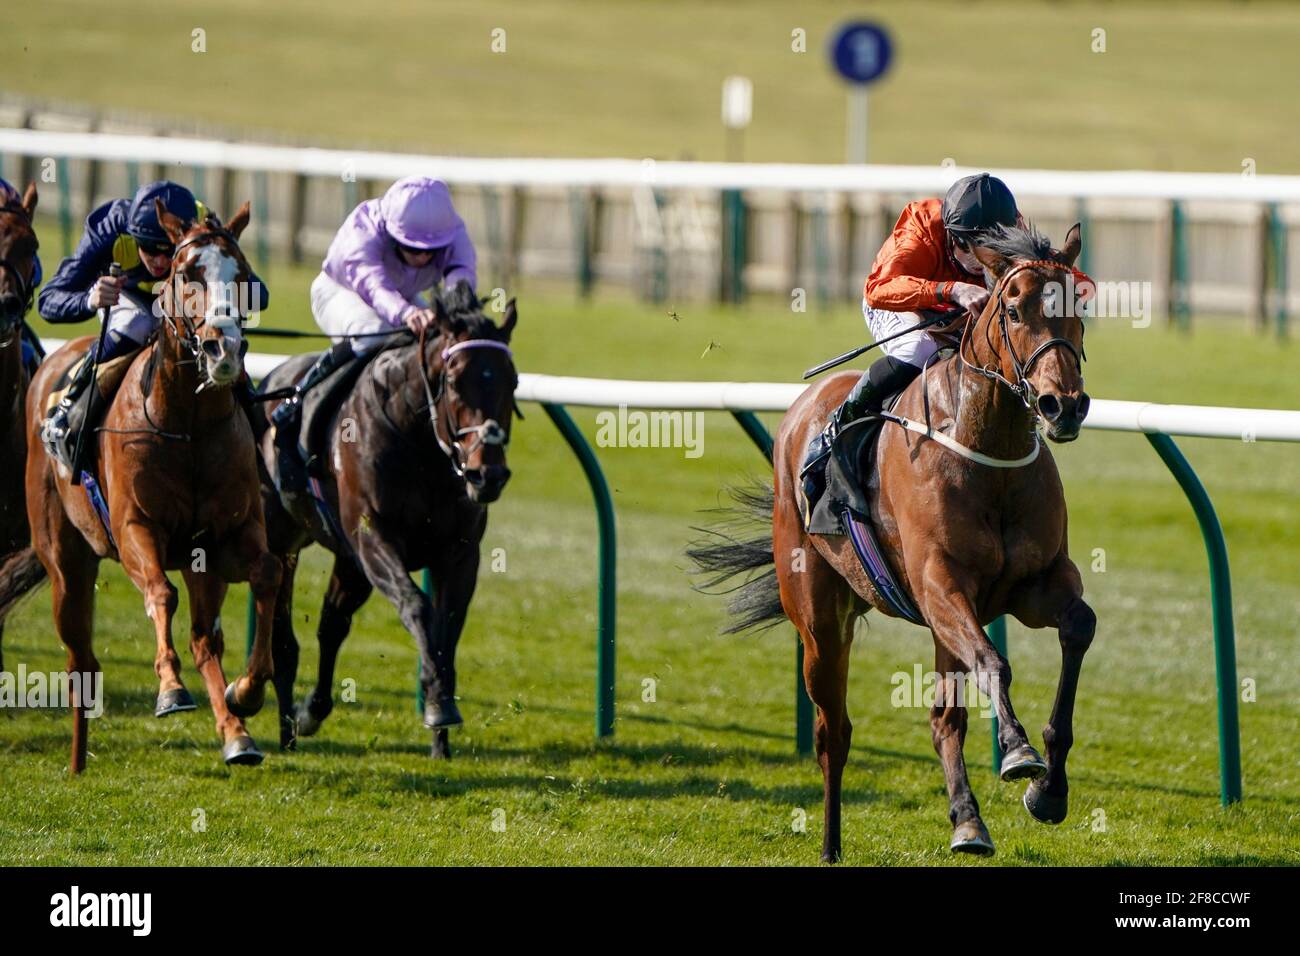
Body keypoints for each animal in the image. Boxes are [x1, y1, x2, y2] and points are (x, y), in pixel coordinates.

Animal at [0, 197, 282, 775]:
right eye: (187, 271)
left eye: (243, 275)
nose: (223, 350)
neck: (188, 424)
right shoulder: (134, 528)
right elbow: (159, 592)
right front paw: (170, 689)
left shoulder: (226, 538)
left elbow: (267, 573)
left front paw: (247, 692)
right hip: (65, 561)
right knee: (80, 658)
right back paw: (77, 761)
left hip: (199, 567)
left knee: (203, 640)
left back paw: (237, 736)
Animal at [253, 280, 517, 759]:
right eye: (454, 381)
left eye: (514, 381)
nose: (486, 474)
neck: (420, 443)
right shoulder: (373, 538)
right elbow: (417, 606)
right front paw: (437, 708)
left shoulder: (459, 553)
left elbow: (446, 627)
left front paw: (440, 727)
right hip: (282, 538)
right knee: (283, 634)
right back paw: (285, 730)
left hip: (348, 561)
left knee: (331, 624)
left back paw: (310, 712)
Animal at [691, 226, 1097, 868]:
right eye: (1012, 310)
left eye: (1079, 309)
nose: (1065, 405)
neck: (988, 452)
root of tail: (802, 411)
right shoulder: (939, 585)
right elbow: (993, 662)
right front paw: (1016, 751)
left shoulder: (1036, 585)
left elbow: (1077, 628)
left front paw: (1049, 789)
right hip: (820, 619)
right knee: (833, 732)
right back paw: (832, 844)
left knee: (943, 718)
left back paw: (968, 823)